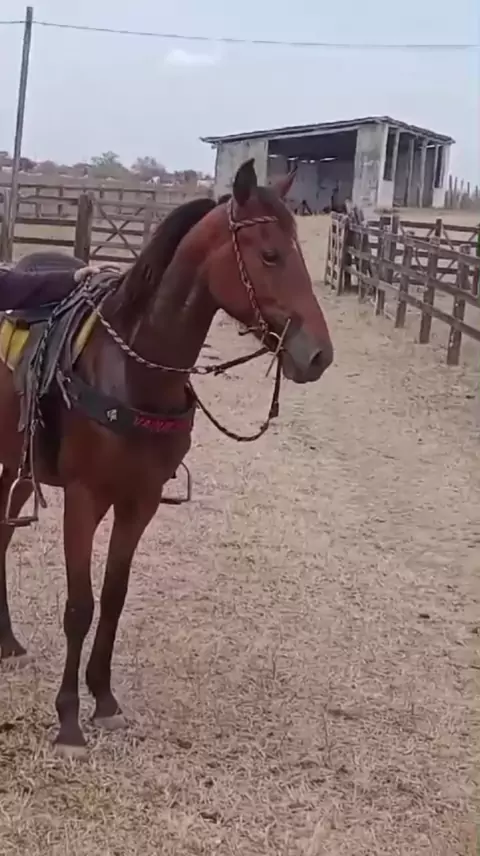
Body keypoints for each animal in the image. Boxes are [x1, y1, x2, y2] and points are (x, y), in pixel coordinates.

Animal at [0, 158, 333, 757]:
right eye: (271, 255)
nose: (318, 354)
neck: (133, 369)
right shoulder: (84, 501)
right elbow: (80, 606)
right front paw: (68, 720)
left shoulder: (141, 503)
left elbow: (113, 597)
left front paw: (104, 699)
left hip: (18, 467)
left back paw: (7, 639)